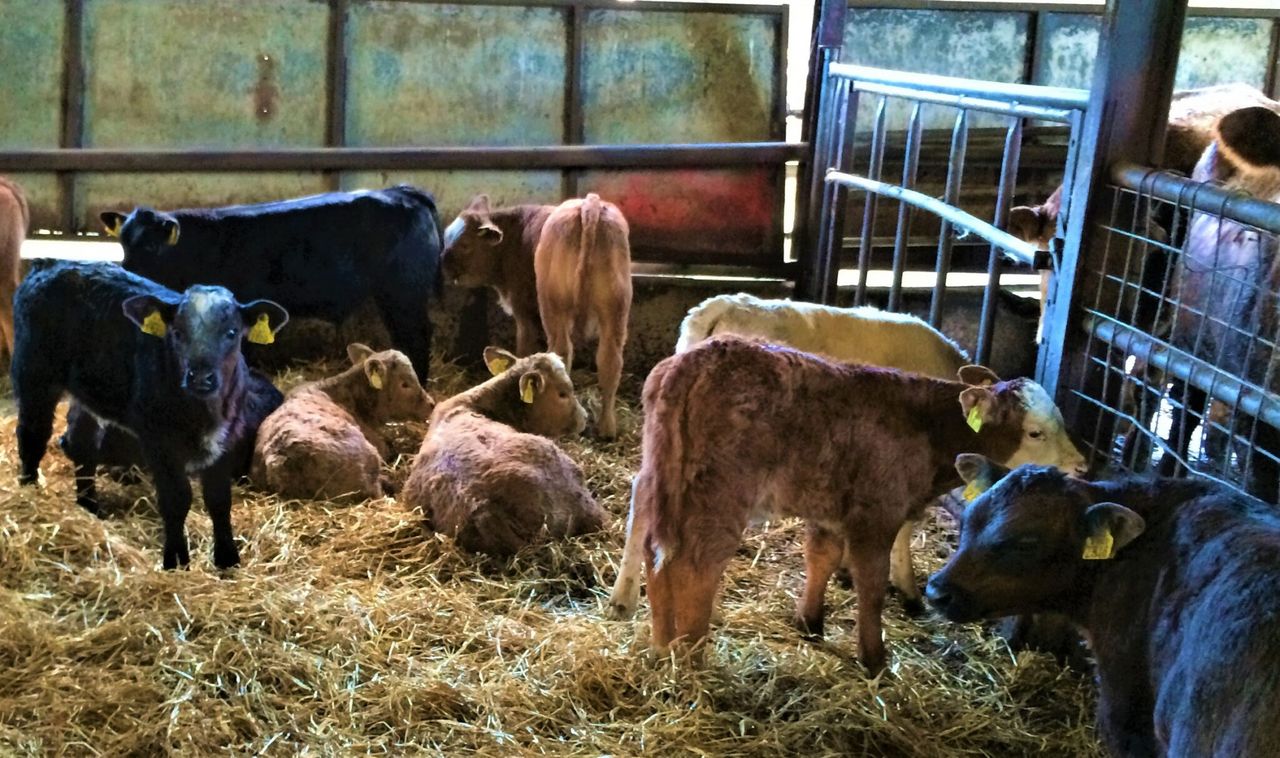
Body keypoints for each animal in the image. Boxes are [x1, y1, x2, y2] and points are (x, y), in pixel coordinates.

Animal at [12, 261, 288, 569]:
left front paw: (228, 559)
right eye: (177, 333)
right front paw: (176, 560)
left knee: (81, 445)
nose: (200, 377)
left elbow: (219, 500)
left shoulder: (227, 439)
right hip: (34, 372)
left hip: (89, 393)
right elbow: (176, 498)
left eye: (231, 332)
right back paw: (30, 492)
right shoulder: (157, 440)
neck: (203, 413)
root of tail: (52, 262)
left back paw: (89, 506)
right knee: (32, 434)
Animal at [100, 184, 442, 380]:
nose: (127, 270)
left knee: (416, 336)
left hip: (403, 293)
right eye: (124, 242)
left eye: (151, 246)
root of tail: (402, 191)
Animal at [441, 193, 632, 438]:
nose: (444, 266)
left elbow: (525, 345)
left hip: (554, 305)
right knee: (610, 361)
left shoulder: (522, 309)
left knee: (562, 350)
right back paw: (607, 428)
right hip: (615, 308)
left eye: (465, 244)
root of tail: (588, 204)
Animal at [613, 336, 1086, 672]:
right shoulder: (876, 513)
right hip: (719, 496)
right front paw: (874, 658)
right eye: (1036, 432)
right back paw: (691, 653)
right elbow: (871, 586)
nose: (1081, 466)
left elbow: (820, 557)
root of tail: (697, 359)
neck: (925, 424)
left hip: (664, 482)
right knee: (695, 563)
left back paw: (661, 645)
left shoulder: (828, 509)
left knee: (657, 552)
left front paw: (810, 623)